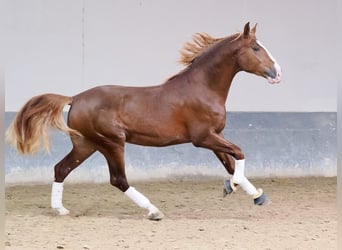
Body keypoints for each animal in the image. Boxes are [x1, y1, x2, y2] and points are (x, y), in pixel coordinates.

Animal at [6, 22, 280, 220]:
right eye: (256, 48)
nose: (277, 73)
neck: (202, 88)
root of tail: (74, 98)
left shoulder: (215, 136)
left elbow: (230, 163)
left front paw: (255, 195)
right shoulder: (202, 138)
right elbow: (239, 153)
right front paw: (233, 187)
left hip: (87, 145)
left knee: (61, 169)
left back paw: (60, 210)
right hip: (112, 143)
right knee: (118, 179)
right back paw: (153, 211)